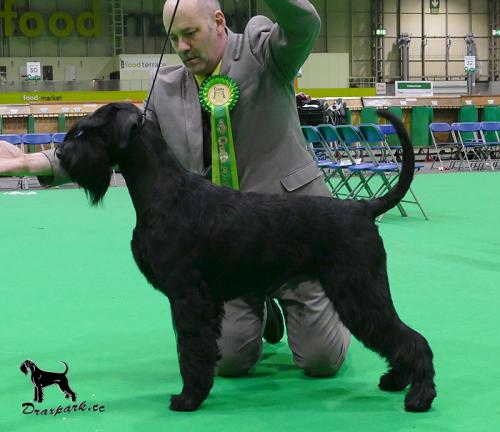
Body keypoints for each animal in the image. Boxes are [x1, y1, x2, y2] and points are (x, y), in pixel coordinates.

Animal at [56, 101, 436, 412]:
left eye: (90, 130)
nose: (61, 154)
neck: (164, 191)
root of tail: (363, 208)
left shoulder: (187, 296)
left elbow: (190, 349)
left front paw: (189, 398)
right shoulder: (198, 301)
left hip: (359, 291)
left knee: (410, 338)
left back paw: (419, 397)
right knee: (399, 336)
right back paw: (396, 381)